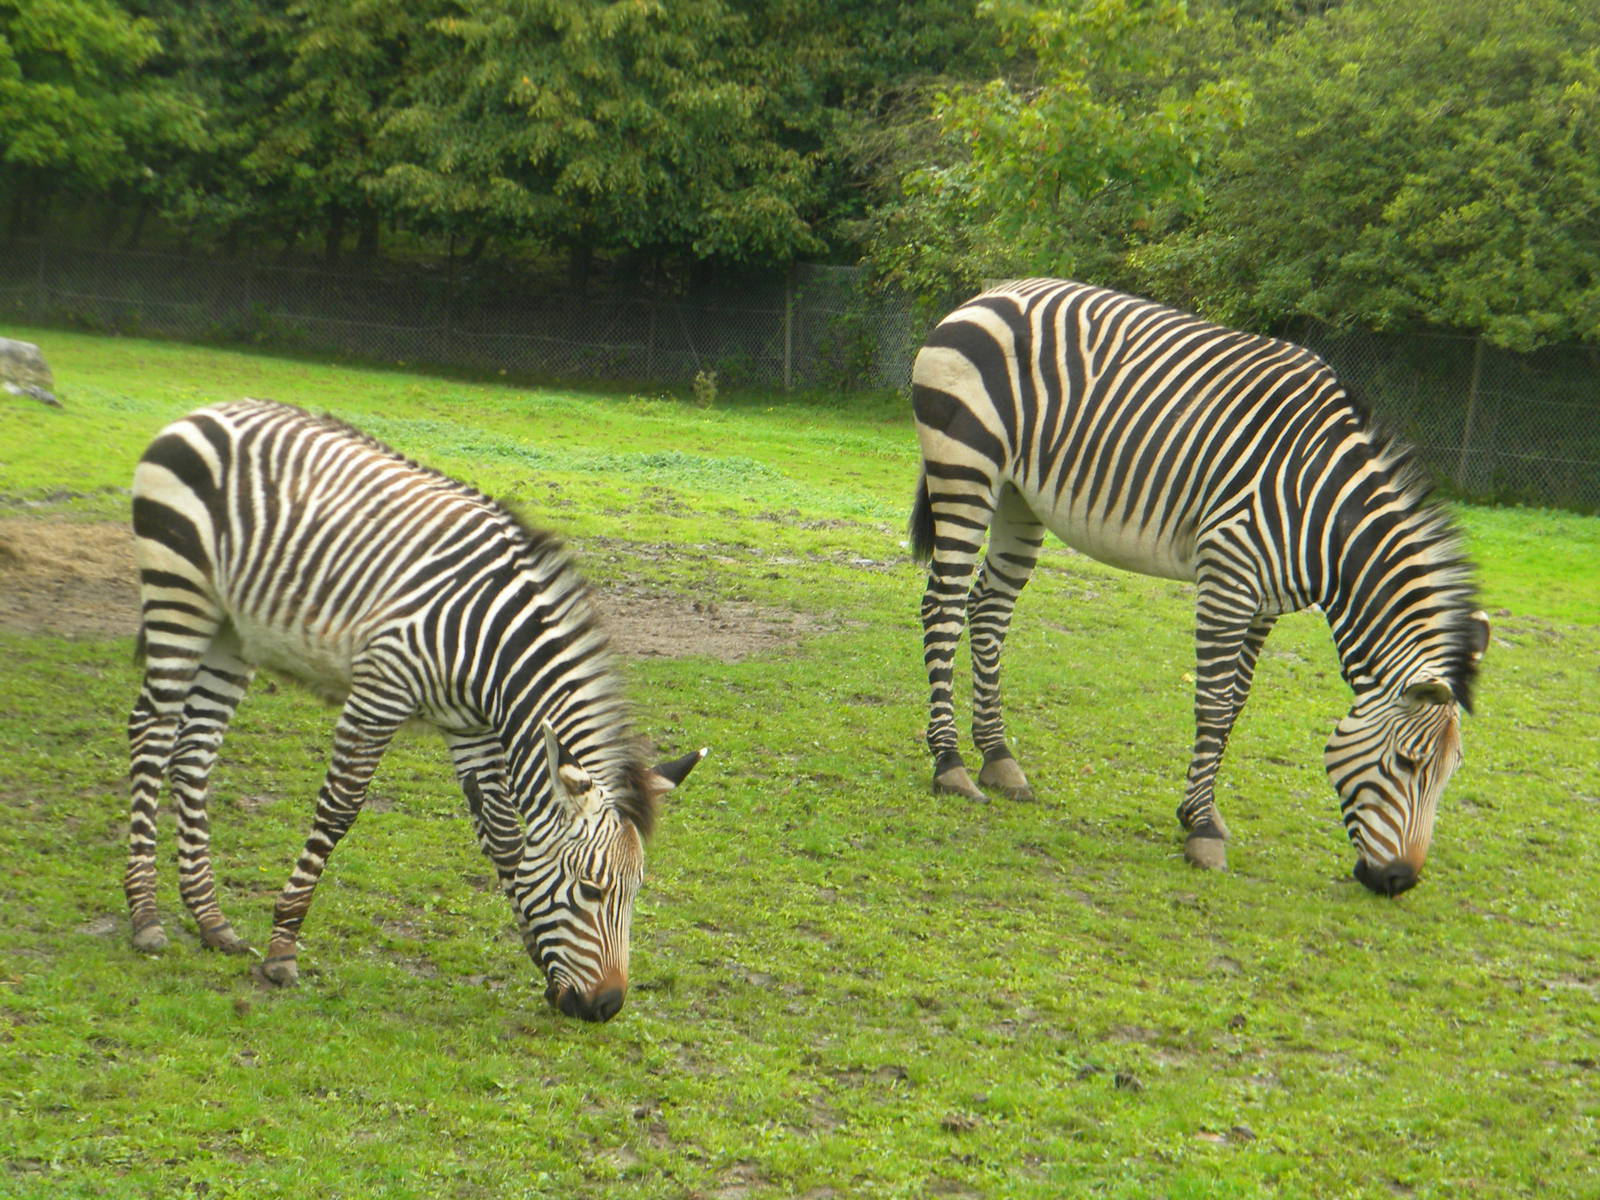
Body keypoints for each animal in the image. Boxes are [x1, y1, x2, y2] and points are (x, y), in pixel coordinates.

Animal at [125, 398, 704, 1021]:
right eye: (591, 891)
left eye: (636, 892)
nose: (605, 1007)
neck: (491, 646)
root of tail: (211, 408)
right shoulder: (381, 692)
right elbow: (338, 811)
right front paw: (283, 946)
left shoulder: (469, 728)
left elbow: (504, 837)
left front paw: (537, 953)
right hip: (180, 593)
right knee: (151, 733)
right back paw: (145, 916)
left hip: (233, 630)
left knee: (194, 750)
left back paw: (210, 921)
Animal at [910, 279, 1489, 895]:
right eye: (1407, 763)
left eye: (1450, 773)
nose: (1399, 881)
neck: (1323, 514)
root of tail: (995, 291)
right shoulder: (1228, 577)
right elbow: (1212, 704)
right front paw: (1203, 832)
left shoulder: (1266, 605)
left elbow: (1235, 704)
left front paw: (1199, 812)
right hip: (966, 467)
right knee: (944, 607)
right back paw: (950, 764)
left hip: (1019, 496)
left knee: (988, 610)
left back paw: (997, 756)